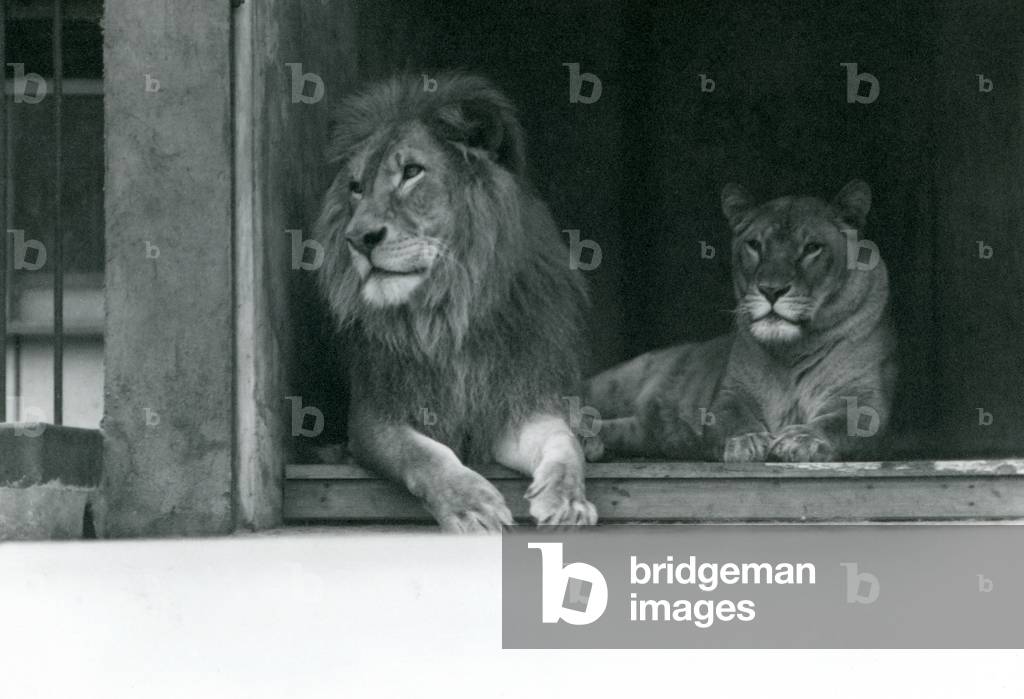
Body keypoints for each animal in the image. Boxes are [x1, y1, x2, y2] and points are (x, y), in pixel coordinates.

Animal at [313, 73, 598, 531]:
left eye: (412, 172)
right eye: (356, 188)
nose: (357, 239)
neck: (448, 309)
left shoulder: (516, 401)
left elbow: (563, 443)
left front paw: (569, 500)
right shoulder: (375, 416)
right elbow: (421, 454)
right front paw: (472, 506)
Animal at [585, 180, 896, 462]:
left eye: (812, 248)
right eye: (755, 245)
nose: (771, 290)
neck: (793, 351)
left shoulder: (863, 400)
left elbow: (841, 425)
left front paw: (801, 439)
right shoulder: (730, 394)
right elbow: (732, 418)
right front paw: (747, 442)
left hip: (641, 431)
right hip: (617, 382)